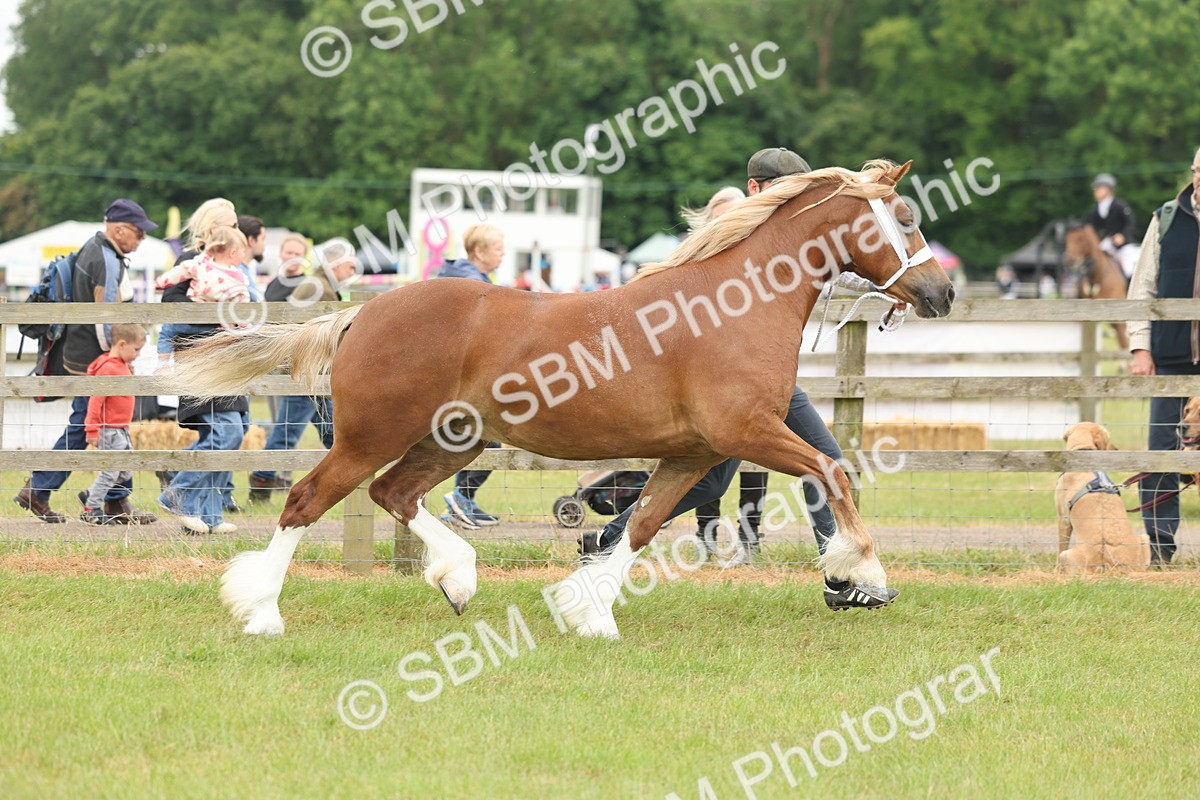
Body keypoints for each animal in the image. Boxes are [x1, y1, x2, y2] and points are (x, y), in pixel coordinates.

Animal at [170, 159, 955, 639]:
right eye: (905, 217)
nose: (942, 292)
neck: (731, 308)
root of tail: (363, 312)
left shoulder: (693, 453)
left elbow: (638, 527)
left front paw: (591, 613)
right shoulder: (748, 433)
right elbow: (834, 471)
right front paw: (860, 572)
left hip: (452, 439)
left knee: (395, 495)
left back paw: (458, 581)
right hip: (372, 436)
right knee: (309, 500)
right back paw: (262, 613)